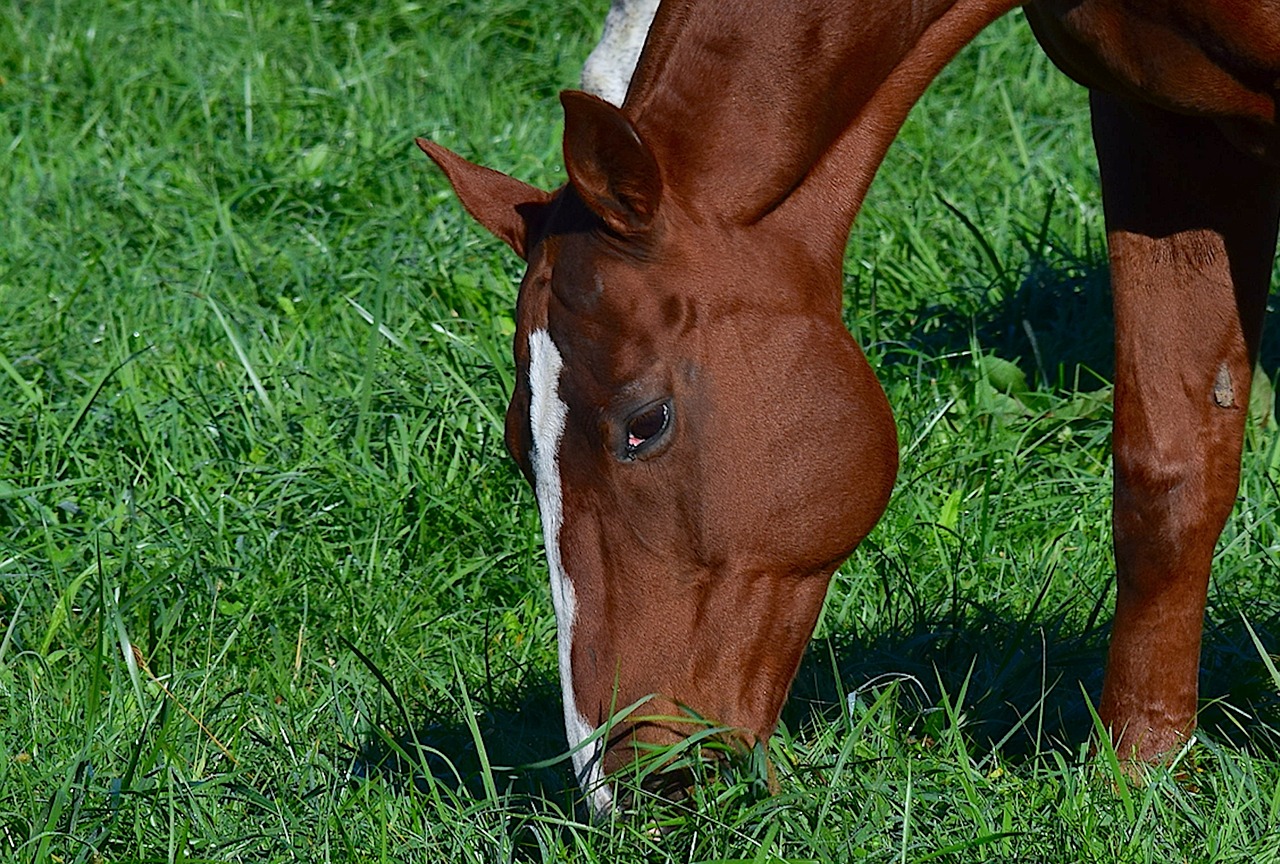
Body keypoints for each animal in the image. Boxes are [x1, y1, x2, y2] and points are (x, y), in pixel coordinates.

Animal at [419, 0, 1280, 814]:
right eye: (519, 447)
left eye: (646, 424)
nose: (622, 786)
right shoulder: (1156, 127)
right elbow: (1167, 477)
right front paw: (1140, 772)